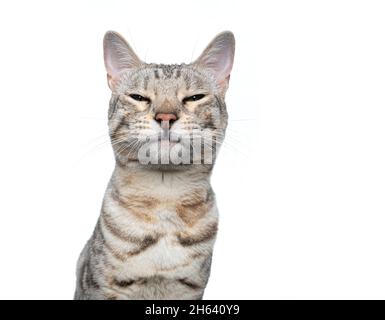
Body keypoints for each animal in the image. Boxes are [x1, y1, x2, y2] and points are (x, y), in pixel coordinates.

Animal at [73, 30, 234, 300]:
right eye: (139, 98)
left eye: (194, 98)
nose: (165, 117)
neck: (164, 200)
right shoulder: (102, 287)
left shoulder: (190, 291)